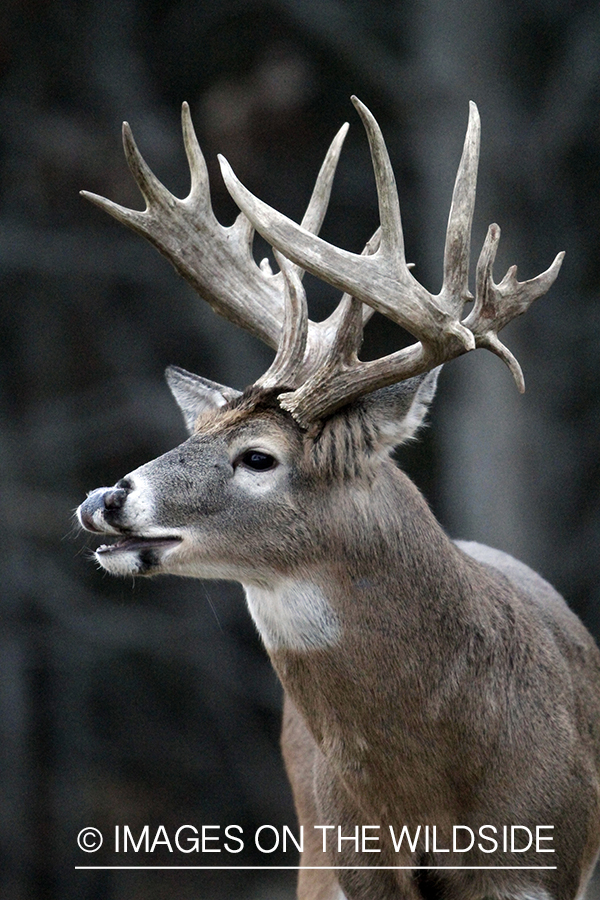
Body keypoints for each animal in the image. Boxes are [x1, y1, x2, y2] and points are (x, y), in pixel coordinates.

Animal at [77, 98, 600, 900]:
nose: (105, 498)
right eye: (197, 428)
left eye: (258, 456)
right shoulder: (350, 867)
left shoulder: (536, 864)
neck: (429, 799)